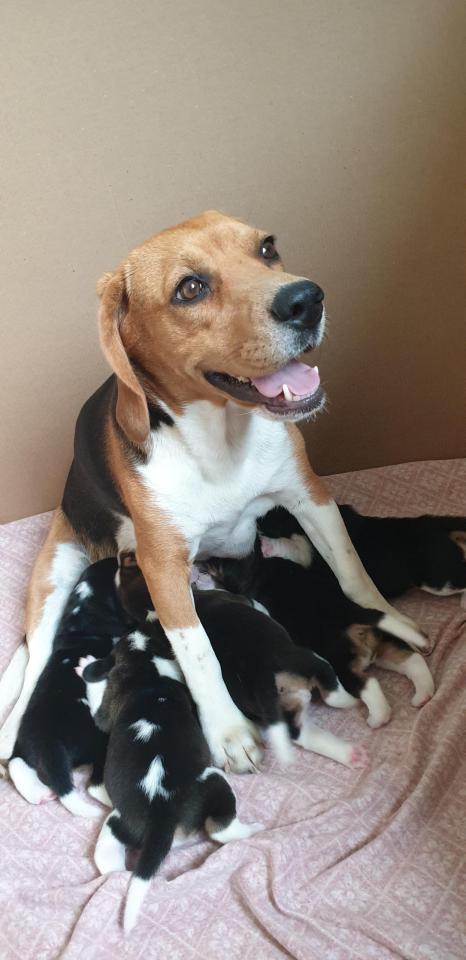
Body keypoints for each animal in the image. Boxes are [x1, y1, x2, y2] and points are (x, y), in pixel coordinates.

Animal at [0, 208, 430, 772]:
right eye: (190, 288)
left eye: (267, 248)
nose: (307, 299)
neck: (222, 440)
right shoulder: (162, 566)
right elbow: (198, 650)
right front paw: (227, 730)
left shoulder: (311, 497)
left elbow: (354, 575)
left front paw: (395, 621)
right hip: (56, 573)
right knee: (38, 660)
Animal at [9, 560, 129, 812]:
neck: (83, 607)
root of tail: (50, 749)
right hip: (98, 741)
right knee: (96, 786)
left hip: (24, 748)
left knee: (16, 764)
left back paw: (39, 793)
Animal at [79, 636, 262, 928]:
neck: (145, 674)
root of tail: (161, 816)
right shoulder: (106, 710)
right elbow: (98, 711)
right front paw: (85, 666)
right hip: (215, 781)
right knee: (220, 829)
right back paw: (253, 829)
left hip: (119, 825)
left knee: (108, 862)